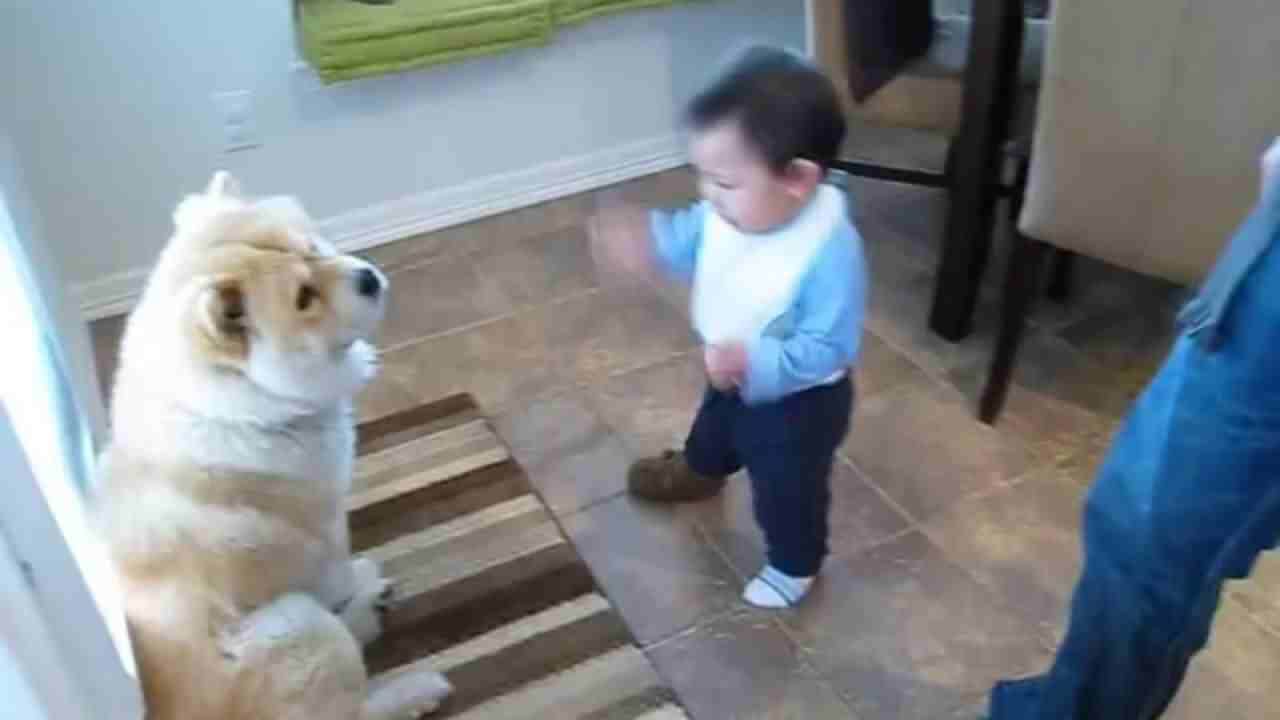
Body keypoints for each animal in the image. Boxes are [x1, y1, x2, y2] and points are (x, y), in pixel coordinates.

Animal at [92, 170, 450, 712]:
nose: (368, 277)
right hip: (299, 627)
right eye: (304, 298)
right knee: (354, 704)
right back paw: (406, 669)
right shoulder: (322, 525)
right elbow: (336, 570)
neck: (239, 409)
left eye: (314, 247)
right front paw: (357, 583)